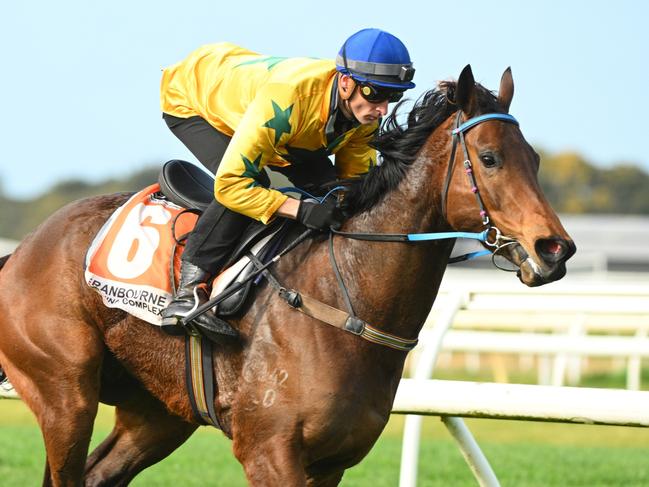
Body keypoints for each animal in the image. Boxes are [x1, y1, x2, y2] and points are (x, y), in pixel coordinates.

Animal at [0, 66, 576, 487]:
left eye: (535, 159)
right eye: (490, 158)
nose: (555, 249)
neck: (344, 300)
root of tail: (23, 250)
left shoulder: (332, 462)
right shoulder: (269, 452)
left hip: (157, 413)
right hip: (65, 394)